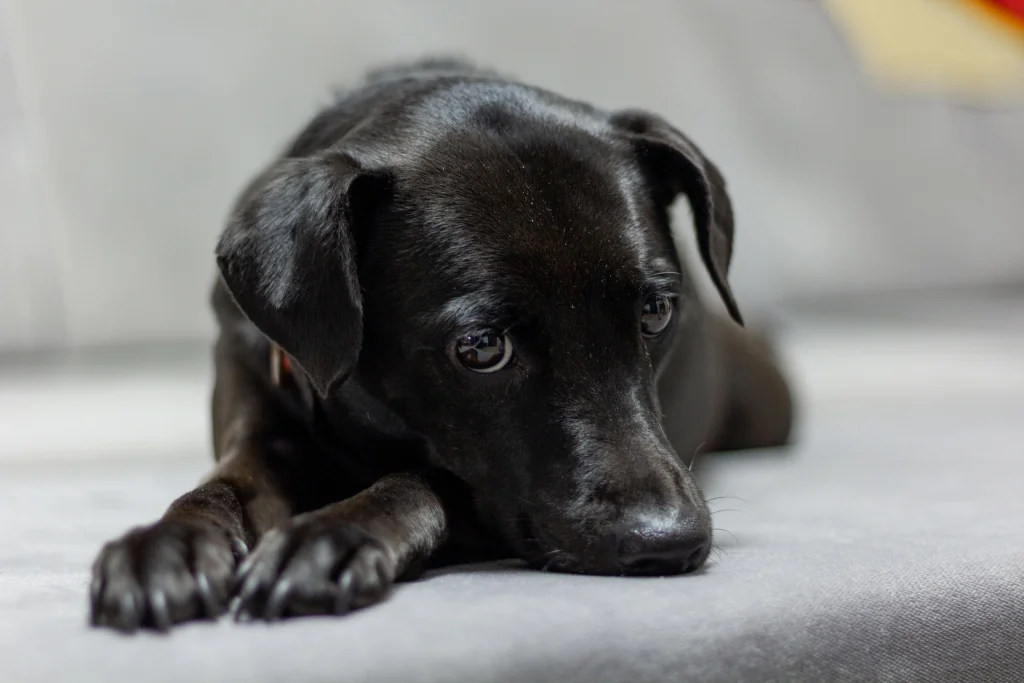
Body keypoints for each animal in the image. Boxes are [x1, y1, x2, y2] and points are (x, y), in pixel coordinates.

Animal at [90, 60, 790, 634]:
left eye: (655, 311)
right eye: (481, 348)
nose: (670, 543)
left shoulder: (487, 502)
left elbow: (424, 480)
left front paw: (330, 535)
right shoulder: (257, 403)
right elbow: (223, 485)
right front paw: (168, 543)